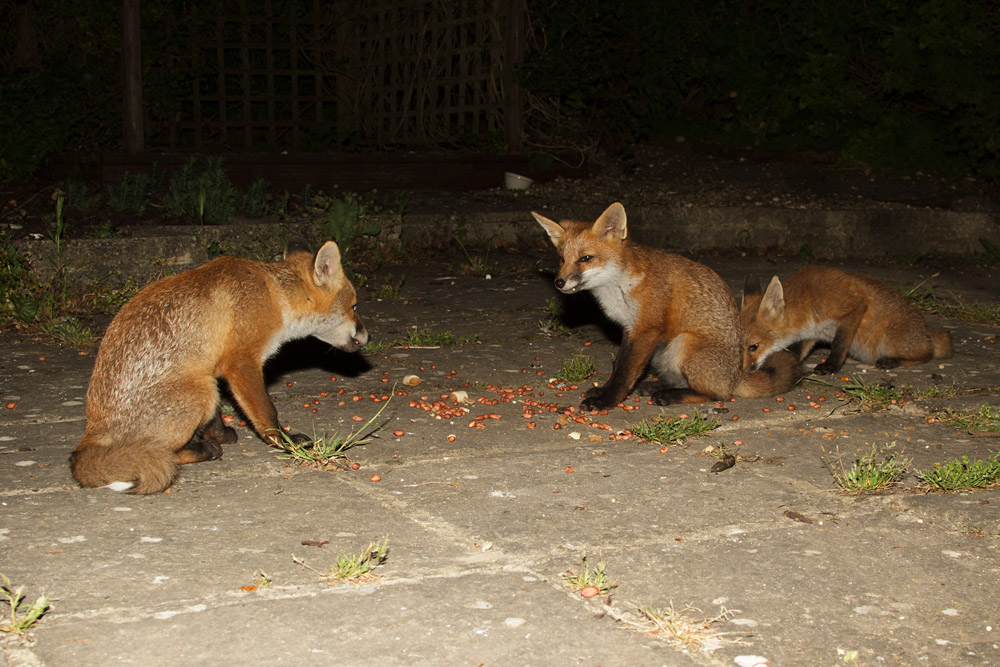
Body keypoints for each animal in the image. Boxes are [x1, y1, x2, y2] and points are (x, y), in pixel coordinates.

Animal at [70, 238, 368, 494]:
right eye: (354, 307)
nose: (368, 337)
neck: (274, 296)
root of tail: (92, 431)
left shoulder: (215, 367)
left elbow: (216, 417)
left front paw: (221, 432)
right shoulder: (241, 362)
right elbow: (267, 414)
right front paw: (287, 444)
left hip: (205, 385)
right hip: (199, 391)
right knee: (165, 453)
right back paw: (202, 449)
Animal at [533, 202, 801, 409]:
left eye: (585, 259)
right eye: (561, 259)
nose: (559, 282)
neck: (618, 288)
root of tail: (737, 375)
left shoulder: (647, 329)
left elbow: (625, 372)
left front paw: (607, 400)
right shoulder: (630, 329)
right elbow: (619, 365)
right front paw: (604, 391)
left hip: (683, 343)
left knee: (718, 394)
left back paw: (671, 395)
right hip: (662, 354)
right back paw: (659, 386)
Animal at [740, 266, 953, 376]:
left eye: (753, 347)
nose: (740, 372)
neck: (807, 300)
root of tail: (928, 331)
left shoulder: (853, 308)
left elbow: (839, 344)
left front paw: (830, 366)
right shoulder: (812, 334)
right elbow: (799, 352)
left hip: (889, 340)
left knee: (927, 354)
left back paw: (892, 361)